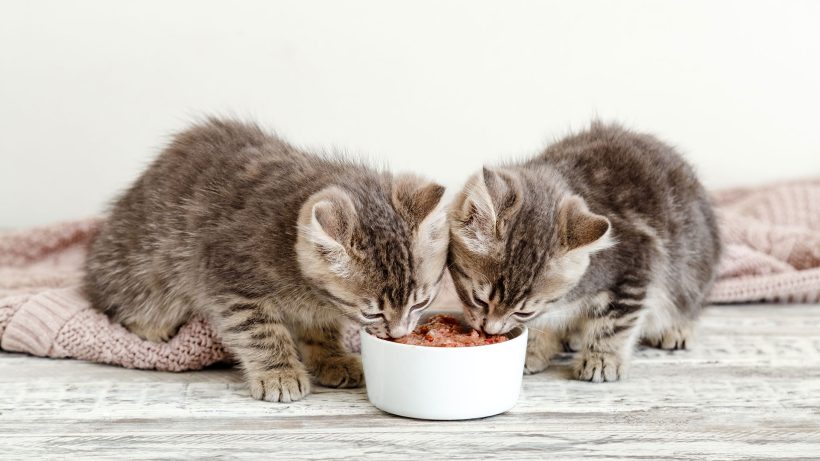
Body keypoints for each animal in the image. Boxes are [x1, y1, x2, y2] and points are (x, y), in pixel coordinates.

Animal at [83, 117, 448, 398]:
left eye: (420, 303)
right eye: (372, 313)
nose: (400, 335)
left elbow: (320, 328)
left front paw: (332, 358)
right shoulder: (228, 279)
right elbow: (260, 332)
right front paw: (279, 373)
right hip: (142, 267)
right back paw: (150, 326)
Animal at [446, 121, 720, 380]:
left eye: (524, 312)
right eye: (479, 299)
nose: (489, 331)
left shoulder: (635, 265)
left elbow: (615, 321)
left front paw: (602, 359)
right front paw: (533, 350)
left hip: (693, 273)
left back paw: (677, 329)